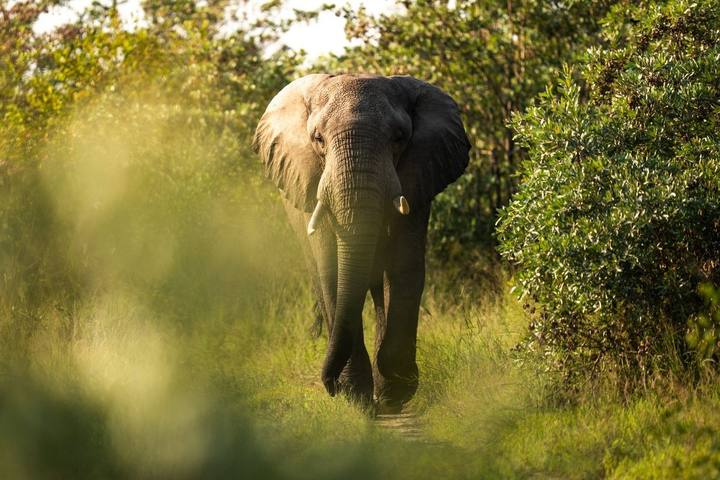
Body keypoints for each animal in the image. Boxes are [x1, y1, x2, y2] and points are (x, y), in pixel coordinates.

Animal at [253, 73, 470, 412]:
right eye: (318, 139)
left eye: (399, 138)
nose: (327, 385)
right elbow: (332, 271)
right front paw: (355, 396)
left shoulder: (417, 181)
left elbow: (404, 267)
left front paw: (395, 393)